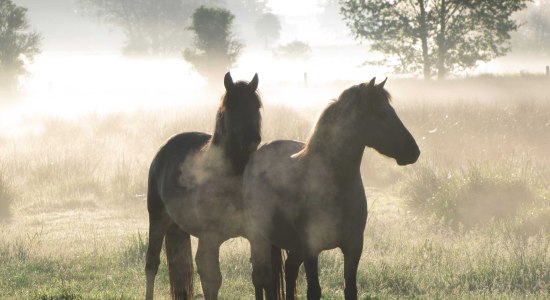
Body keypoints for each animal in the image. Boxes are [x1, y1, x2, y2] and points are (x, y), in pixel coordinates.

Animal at [148, 72, 264, 300]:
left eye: (256, 106)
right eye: (231, 107)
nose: (253, 140)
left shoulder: (255, 237)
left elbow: (260, 277)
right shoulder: (210, 239)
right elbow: (212, 281)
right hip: (156, 220)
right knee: (151, 265)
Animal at [244, 78, 420, 298]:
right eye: (380, 113)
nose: (414, 151)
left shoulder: (353, 247)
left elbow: (350, 289)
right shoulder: (311, 248)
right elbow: (314, 290)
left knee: (289, 270)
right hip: (259, 238)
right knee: (261, 279)